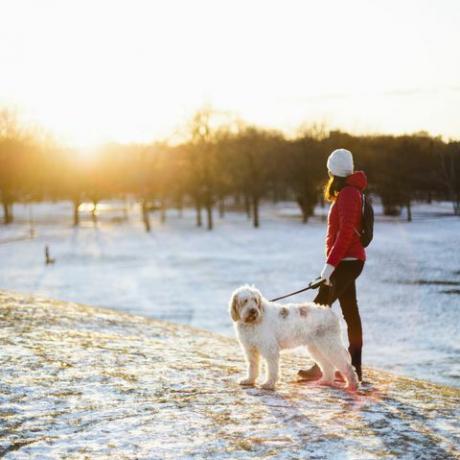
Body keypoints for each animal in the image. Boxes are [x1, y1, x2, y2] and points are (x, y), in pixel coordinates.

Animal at [230, 286, 360, 390]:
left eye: (255, 300)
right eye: (245, 301)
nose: (253, 311)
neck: (254, 321)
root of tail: (331, 313)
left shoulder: (270, 349)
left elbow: (272, 369)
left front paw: (268, 384)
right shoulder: (250, 350)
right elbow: (253, 367)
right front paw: (249, 380)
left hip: (330, 345)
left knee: (346, 366)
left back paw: (352, 385)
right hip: (317, 347)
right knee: (327, 366)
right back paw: (325, 381)